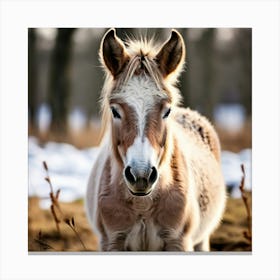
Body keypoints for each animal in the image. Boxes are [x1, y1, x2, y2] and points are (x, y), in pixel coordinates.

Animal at [86, 28, 226, 252]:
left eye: (167, 111)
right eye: (115, 111)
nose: (141, 175)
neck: (143, 204)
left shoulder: (178, 242)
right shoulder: (112, 242)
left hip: (201, 240)